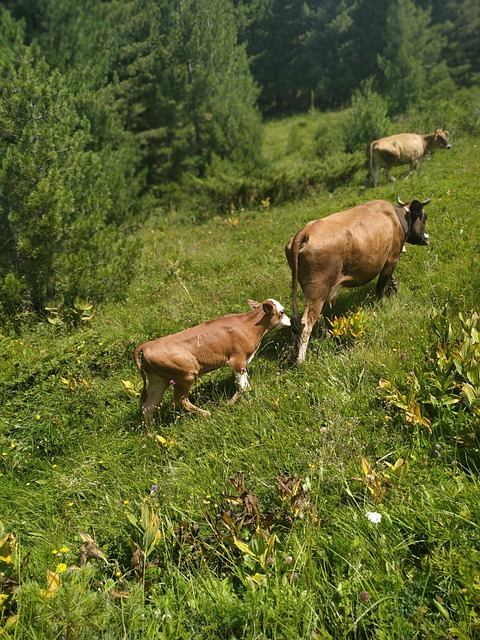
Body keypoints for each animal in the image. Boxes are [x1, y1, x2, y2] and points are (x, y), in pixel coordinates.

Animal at [132, 298, 288, 424]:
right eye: (282, 312)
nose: (291, 321)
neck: (249, 325)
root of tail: (147, 345)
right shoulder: (237, 361)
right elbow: (241, 386)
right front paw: (229, 404)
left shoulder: (242, 363)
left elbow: (246, 385)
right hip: (186, 375)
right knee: (179, 401)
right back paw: (206, 414)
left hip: (159, 380)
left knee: (148, 406)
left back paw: (151, 435)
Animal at [284, 198, 432, 362]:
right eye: (424, 217)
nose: (426, 238)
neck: (397, 218)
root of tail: (306, 231)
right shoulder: (392, 258)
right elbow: (380, 287)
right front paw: (380, 306)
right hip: (318, 289)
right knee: (307, 322)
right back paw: (301, 360)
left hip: (313, 291)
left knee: (314, 318)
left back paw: (327, 335)